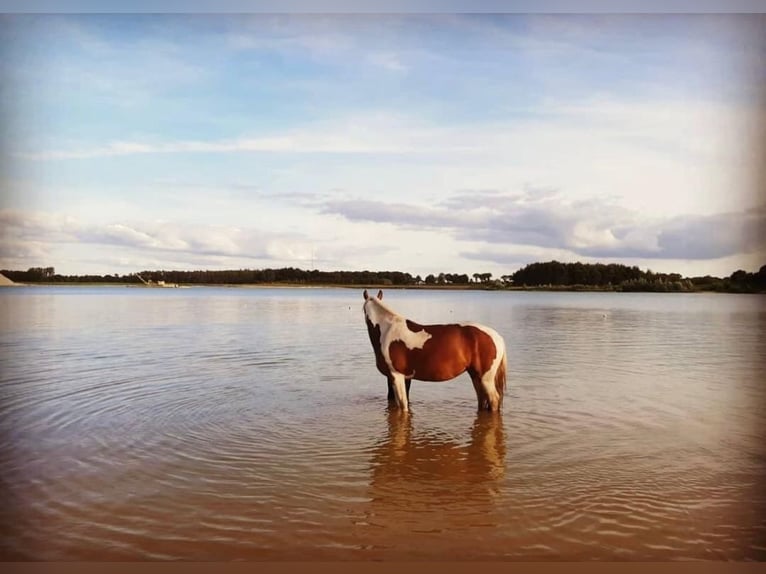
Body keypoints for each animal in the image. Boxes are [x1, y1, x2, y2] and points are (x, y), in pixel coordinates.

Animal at [362, 289, 507, 413]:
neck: (387, 330)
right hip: (476, 376)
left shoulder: (396, 376)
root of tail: (497, 337)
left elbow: (403, 406)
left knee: (494, 400)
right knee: (482, 400)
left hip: (486, 378)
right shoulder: (404, 378)